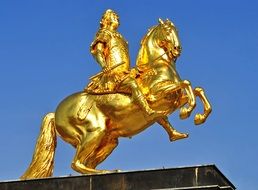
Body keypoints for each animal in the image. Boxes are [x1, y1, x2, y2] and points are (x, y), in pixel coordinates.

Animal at [21, 18, 212, 179]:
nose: (178, 49)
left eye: (176, 30)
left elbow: (197, 90)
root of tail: (56, 112)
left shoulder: (173, 100)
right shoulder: (156, 96)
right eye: (167, 30)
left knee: (85, 163)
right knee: (77, 163)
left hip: (108, 142)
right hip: (94, 132)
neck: (157, 67)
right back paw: (107, 171)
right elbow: (186, 84)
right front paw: (187, 112)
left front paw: (199, 117)